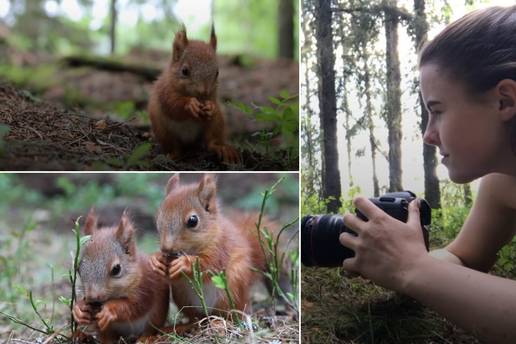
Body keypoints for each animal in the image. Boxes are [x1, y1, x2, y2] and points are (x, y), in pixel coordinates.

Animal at [72, 210, 169, 344]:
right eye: (78, 268)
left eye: (116, 269)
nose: (93, 297)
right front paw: (79, 309)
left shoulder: (144, 288)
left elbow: (134, 306)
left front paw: (109, 310)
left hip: (156, 316)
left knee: (150, 330)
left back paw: (146, 338)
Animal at [147, 25, 240, 164]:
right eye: (184, 71)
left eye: (217, 73)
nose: (204, 91)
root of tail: (189, 142)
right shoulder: (165, 91)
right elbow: (172, 105)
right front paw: (190, 104)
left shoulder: (213, 95)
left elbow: (213, 103)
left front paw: (211, 107)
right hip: (161, 128)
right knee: (173, 146)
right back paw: (173, 155)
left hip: (217, 123)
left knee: (211, 141)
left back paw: (221, 148)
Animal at [149, 175, 278, 326]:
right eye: (158, 219)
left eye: (193, 221)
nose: (166, 248)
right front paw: (155, 260)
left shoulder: (220, 248)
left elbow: (210, 264)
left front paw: (184, 264)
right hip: (182, 296)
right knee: (197, 317)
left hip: (232, 289)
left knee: (229, 314)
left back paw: (221, 322)